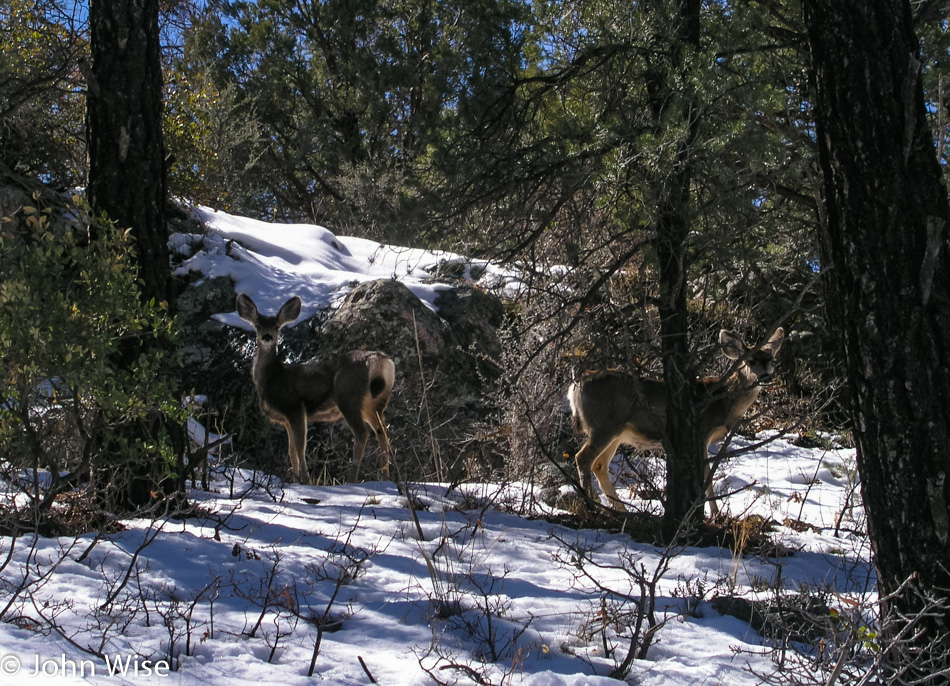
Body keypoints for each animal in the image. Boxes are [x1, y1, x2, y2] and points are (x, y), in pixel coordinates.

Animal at [236, 294, 396, 484]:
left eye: (276, 326)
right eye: (258, 326)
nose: (267, 336)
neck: (272, 378)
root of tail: (379, 360)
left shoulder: (295, 407)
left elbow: (299, 447)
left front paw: (305, 480)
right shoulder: (285, 419)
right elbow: (291, 450)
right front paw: (295, 480)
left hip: (348, 397)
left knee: (362, 433)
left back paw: (351, 479)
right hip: (374, 404)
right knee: (382, 432)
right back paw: (385, 477)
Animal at [568, 328, 784, 516]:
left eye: (772, 360)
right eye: (751, 361)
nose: (766, 376)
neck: (721, 401)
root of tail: (576, 384)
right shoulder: (701, 432)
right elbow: (706, 475)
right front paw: (715, 513)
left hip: (617, 432)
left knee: (599, 465)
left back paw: (621, 510)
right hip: (604, 425)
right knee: (583, 458)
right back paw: (592, 506)